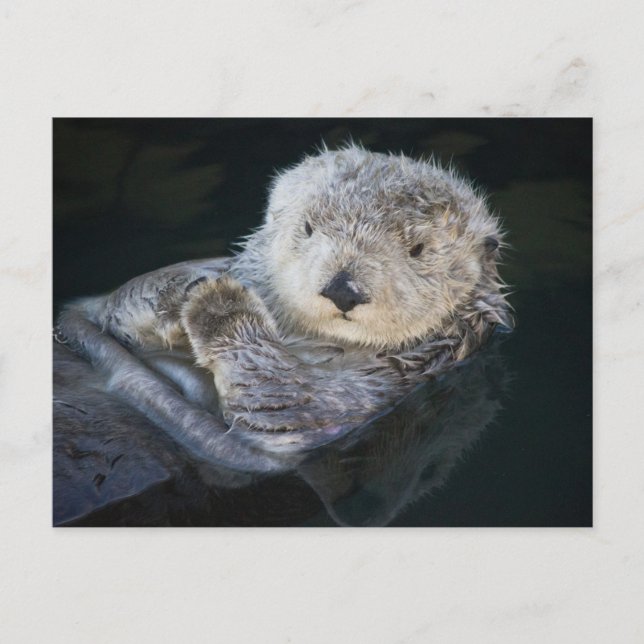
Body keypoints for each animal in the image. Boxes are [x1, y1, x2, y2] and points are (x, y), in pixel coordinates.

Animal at [56, 144, 512, 456]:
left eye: (418, 250)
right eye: (308, 228)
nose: (343, 288)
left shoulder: (369, 392)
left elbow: (282, 402)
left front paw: (220, 305)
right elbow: (114, 310)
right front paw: (182, 290)